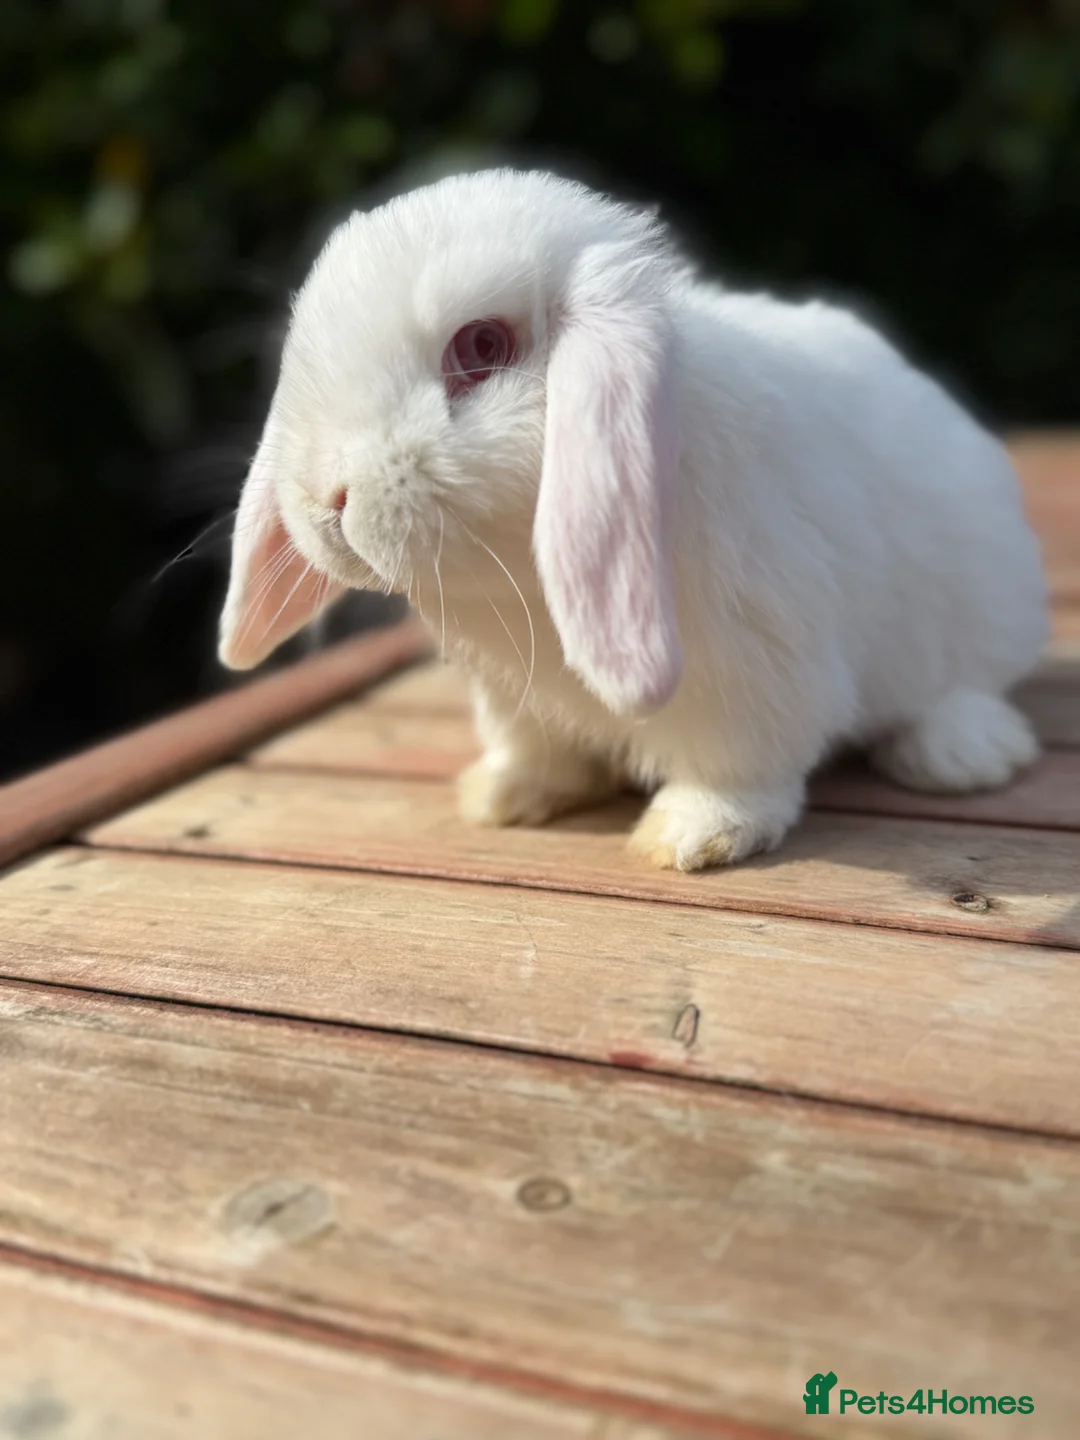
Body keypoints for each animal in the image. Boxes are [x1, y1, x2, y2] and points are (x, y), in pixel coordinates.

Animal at [218, 168, 1047, 871]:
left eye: (481, 345)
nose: (325, 497)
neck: (519, 585)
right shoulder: (512, 696)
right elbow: (534, 750)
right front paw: (501, 797)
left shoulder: (761, 673)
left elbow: (741, 767)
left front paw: (690, 838)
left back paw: (962, 754)